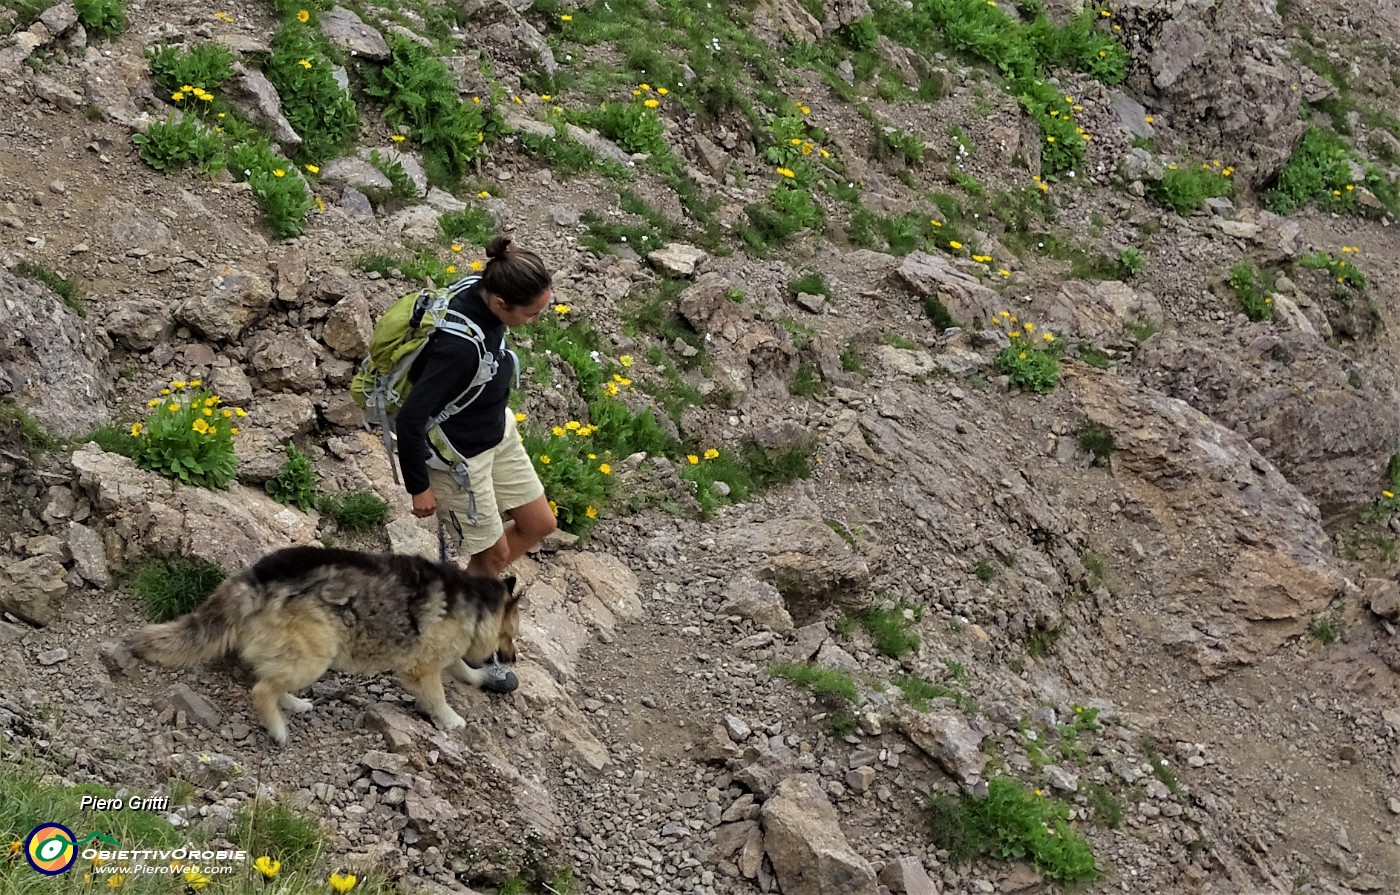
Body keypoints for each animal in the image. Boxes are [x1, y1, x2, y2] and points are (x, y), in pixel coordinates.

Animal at [124, 546, 520, 750]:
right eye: (512, 634)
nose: (513, 659)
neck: (477, 603)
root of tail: (256, 578)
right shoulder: (421, 668)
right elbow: (437, 694)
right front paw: (450, 719)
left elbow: (461, 668)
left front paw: (478, 677)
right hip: (317, 652)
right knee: (261, 689)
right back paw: (278, 729)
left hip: (297, 652)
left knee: (269, 678)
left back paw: (292, 704)